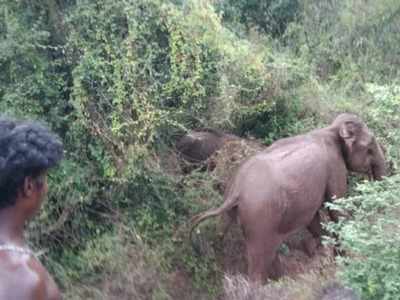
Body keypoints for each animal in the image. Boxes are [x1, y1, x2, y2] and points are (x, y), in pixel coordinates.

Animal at [191, 113, 388, 282]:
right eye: (370, 147)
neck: (330, 129)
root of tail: (236, 191)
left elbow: (314, 219)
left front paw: (321, 254)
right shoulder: (334, 167)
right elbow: (336, 209)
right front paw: (343, 262)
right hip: (260, 218)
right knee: (258, 262)